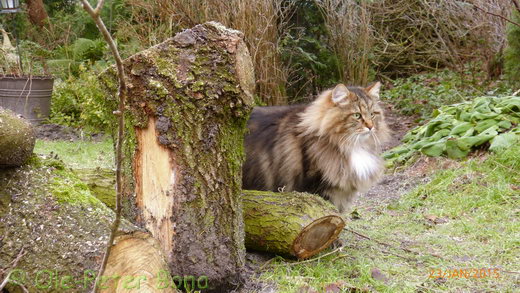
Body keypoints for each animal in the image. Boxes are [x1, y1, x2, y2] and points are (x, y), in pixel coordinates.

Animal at [242, 82, 388, 212]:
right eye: (357, 115)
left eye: (372, 114)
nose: (371, 127)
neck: (350, 146)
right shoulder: (317, 190)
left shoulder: (343, 194)